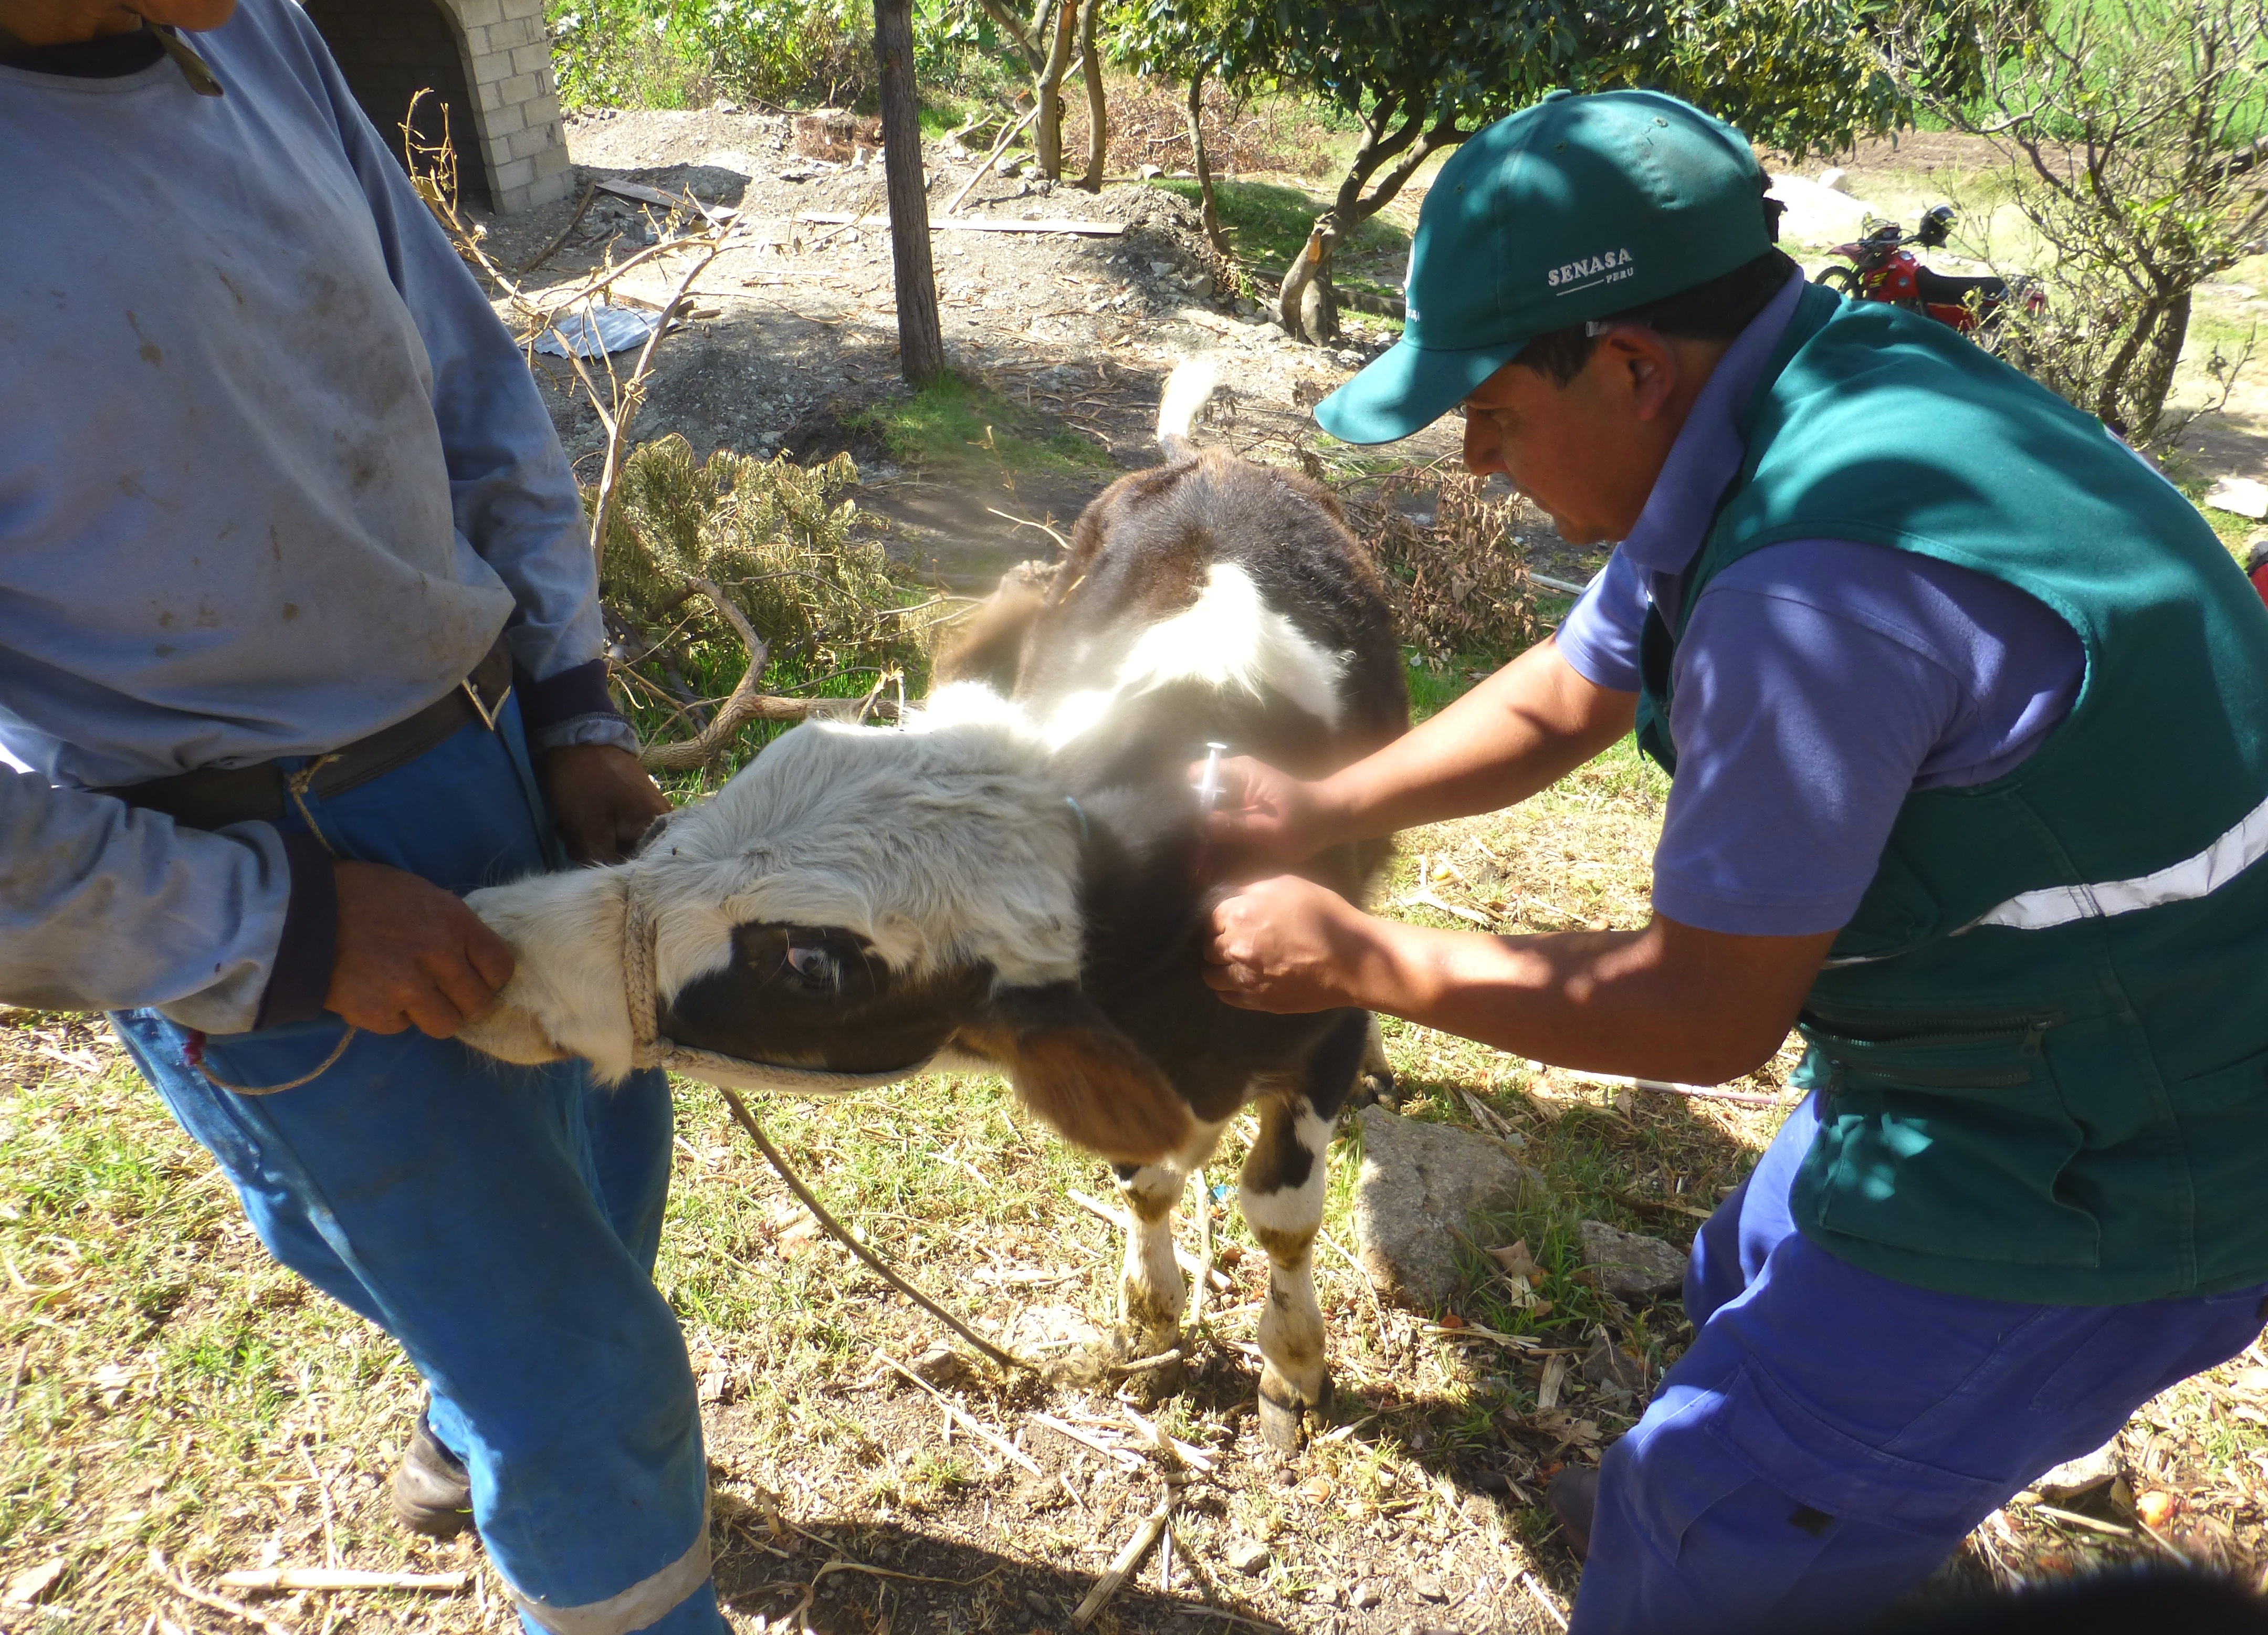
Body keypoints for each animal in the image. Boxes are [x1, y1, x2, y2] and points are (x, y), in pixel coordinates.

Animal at [460, 363, 1406, 1451]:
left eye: (811, 961)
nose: (494, 943)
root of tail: (1208, 462)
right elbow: (1148, 1175)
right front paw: (1152, 1310)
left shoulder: (1319, 1022)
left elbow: (1282, 1212)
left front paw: (1293, 1364)